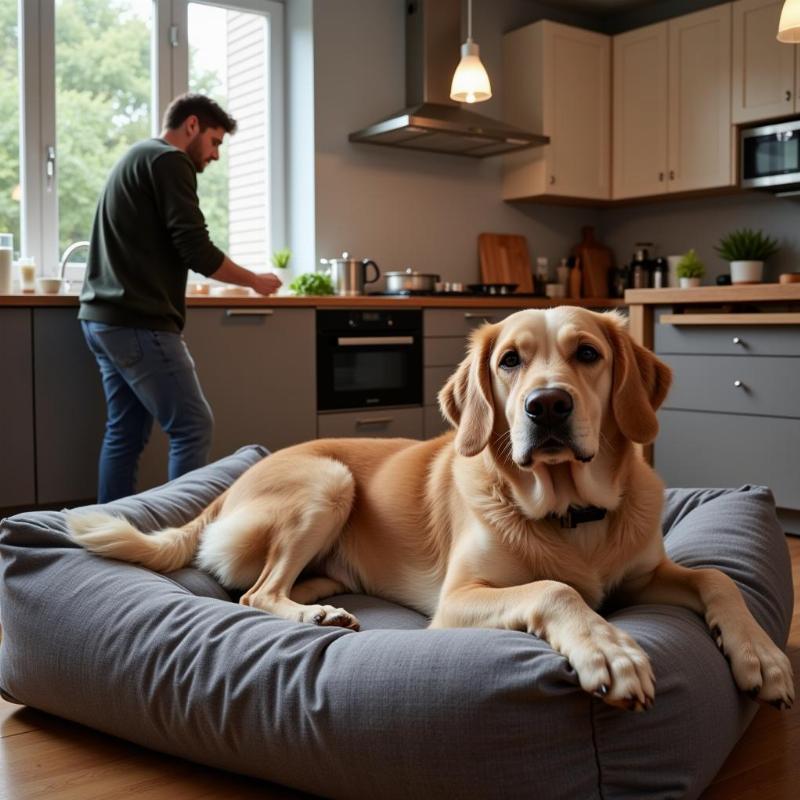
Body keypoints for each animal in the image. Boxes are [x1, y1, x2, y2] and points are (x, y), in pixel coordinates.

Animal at [70, 306, 792, 712]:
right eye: (510, 361)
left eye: (588, 353)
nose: (547, 406)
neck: (569, 515)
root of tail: (229, 481)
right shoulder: (458, 600)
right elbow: (556, 589)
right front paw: (608, 649)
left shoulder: (647, 573)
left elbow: (717, 577)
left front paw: (761, 655)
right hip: (329, 478)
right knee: (255, 592)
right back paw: (313, 612)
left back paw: (325, 599)